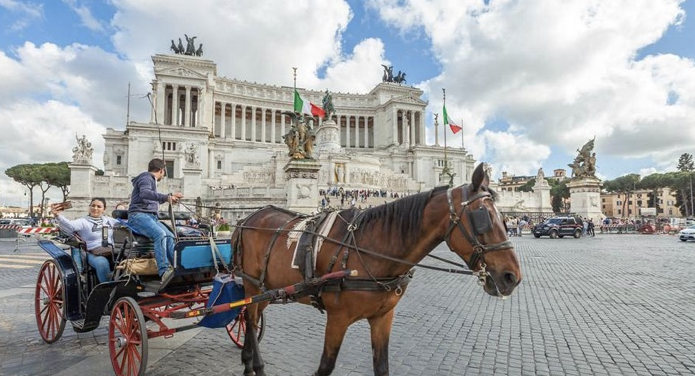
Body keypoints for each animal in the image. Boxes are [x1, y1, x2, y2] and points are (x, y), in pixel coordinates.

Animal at [231, 162, 520, 376]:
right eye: (482, 217)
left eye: (504, 218)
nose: (512, 277)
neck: (370, 248)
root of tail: (248, 217)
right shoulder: (337, 319)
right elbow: (325, 367)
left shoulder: (383, 317)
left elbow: (381, 367)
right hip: (252, 283)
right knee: (251, 320)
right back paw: (256, 366)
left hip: (266, 287)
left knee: (249, 316)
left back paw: (246, 361)